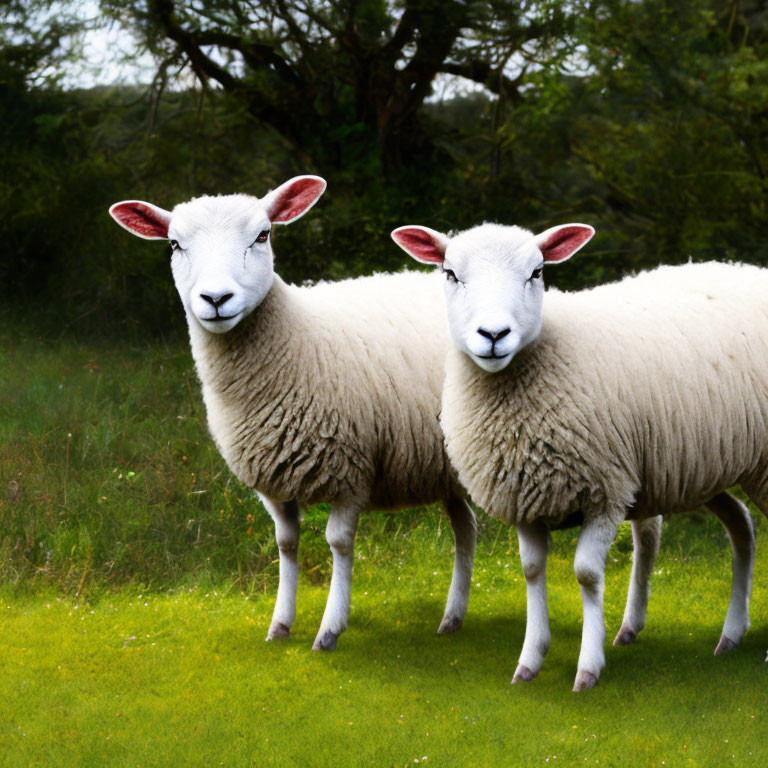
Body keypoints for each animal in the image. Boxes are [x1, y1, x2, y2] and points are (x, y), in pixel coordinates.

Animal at [108, 177, 480, 652]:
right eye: (174, 244)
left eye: (263, 235)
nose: (215, 298)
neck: (297, 339)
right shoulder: (273, 477)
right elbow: (286, 544)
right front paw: (280, 625)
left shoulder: (353, 467)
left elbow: (338, 543)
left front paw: (329, 629)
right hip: (446, 465)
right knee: (466, 527)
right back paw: (452, 617)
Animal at [392, 220, 760, 688]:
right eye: (450, 273)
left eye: (536, 272)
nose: (493, 336)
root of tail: (746, 270)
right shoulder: (526, 496)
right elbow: (532, 570)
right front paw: (530, 661)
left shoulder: (606, 491)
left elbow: (586, 574)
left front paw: (588, 667)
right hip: (698, 468)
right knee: (741, 524)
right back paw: (730, 634)